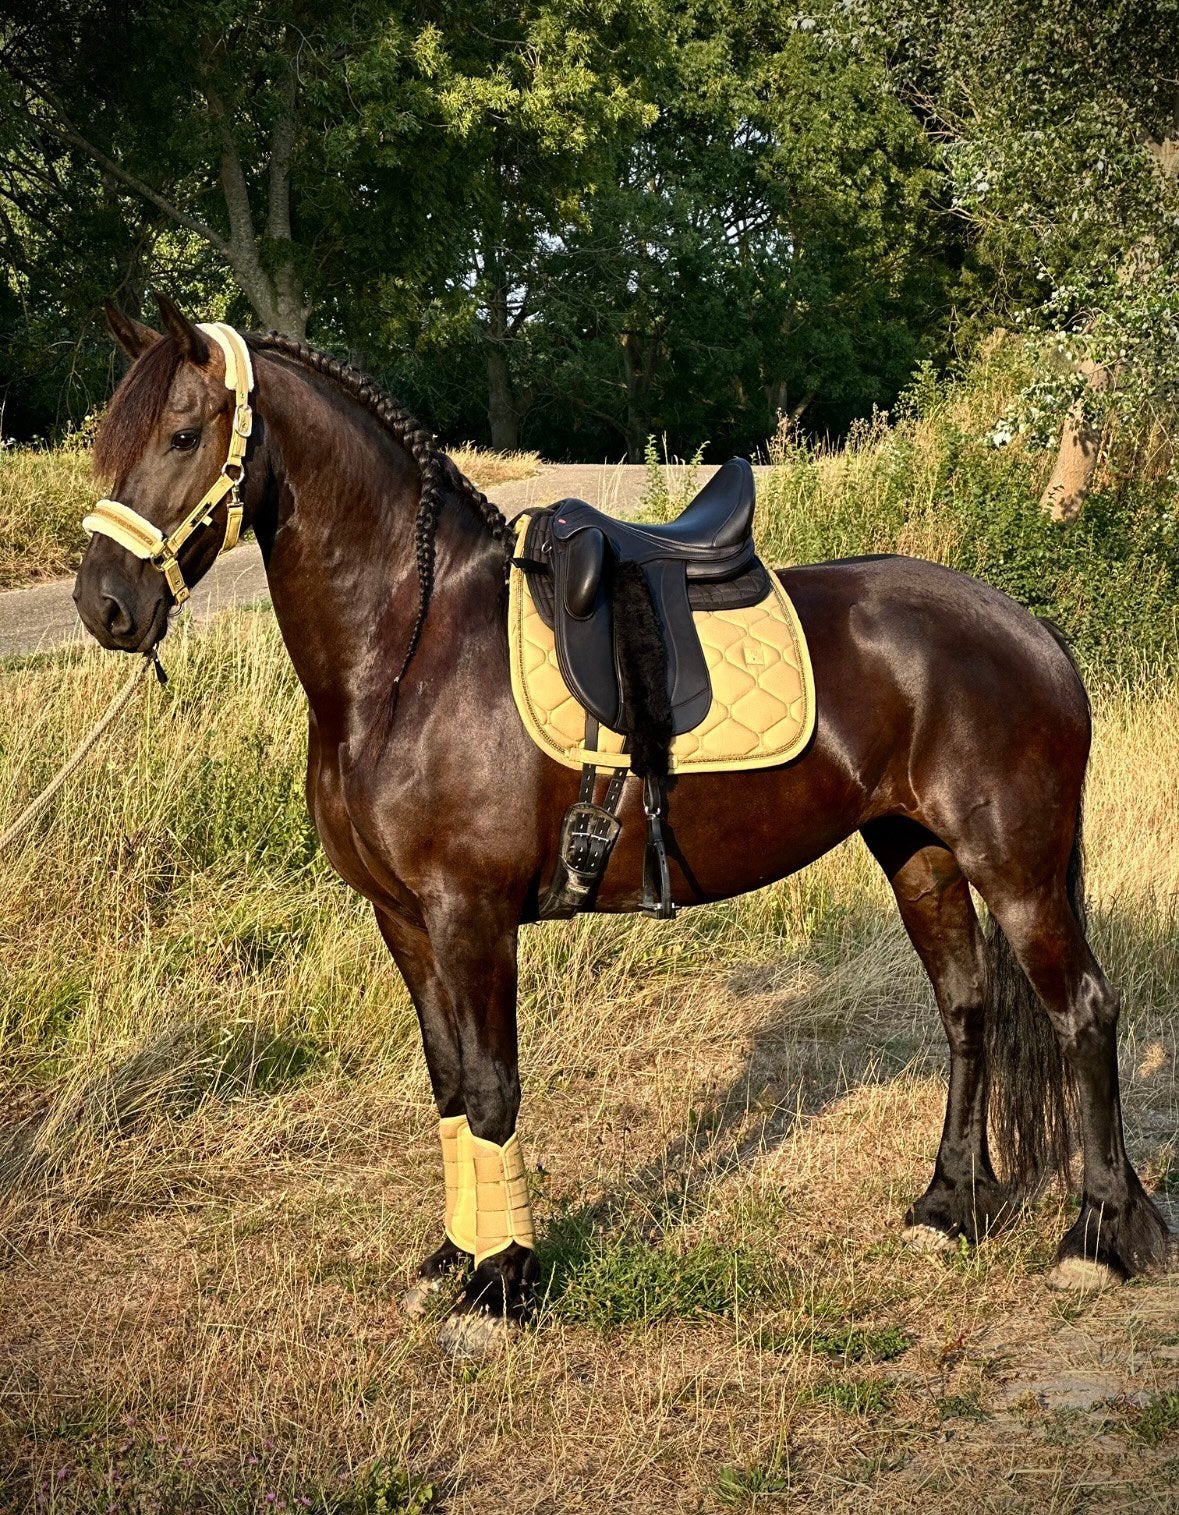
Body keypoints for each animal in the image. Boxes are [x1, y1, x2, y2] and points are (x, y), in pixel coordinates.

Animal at [73, 293, 1172, 1354]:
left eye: (183, 434)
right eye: (107, 440)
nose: (103, 604)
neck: (411, 656)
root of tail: (1026, 626)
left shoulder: (471, 916)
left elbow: (493, 1089)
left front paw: (500, 1289)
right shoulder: (402, 918)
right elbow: (446, 1086)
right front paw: (452, 1260)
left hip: (1016, 868)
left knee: (1085, 1012)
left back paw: (1097, 1236)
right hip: (922, 857)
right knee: (967, 1011)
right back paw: (948, 1208)